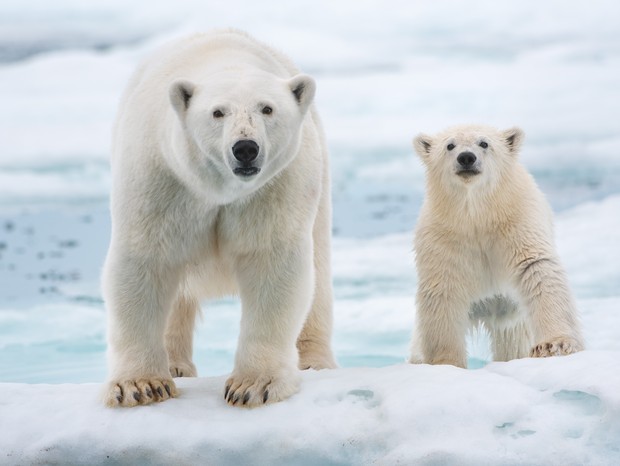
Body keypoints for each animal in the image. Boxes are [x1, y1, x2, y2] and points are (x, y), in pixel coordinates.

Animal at [103, 30, 334, 408]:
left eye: (267, 108)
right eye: (217, 112)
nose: (246, 148)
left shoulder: (275, 187)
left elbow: (273, 264)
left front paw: (253, 385)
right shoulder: (162, 178)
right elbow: (145, 261)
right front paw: (141, 386)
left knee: (318, 271)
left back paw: (314, 362)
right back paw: (176, 365)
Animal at [410, 124, 584, 368]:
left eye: (484, 143)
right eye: (450, 145)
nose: (466, 157)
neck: (479, 216)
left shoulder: (518, 224)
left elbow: (536, 269)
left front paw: (554, 345)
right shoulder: (443, 237)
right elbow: (443, 292)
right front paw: (446, 362)